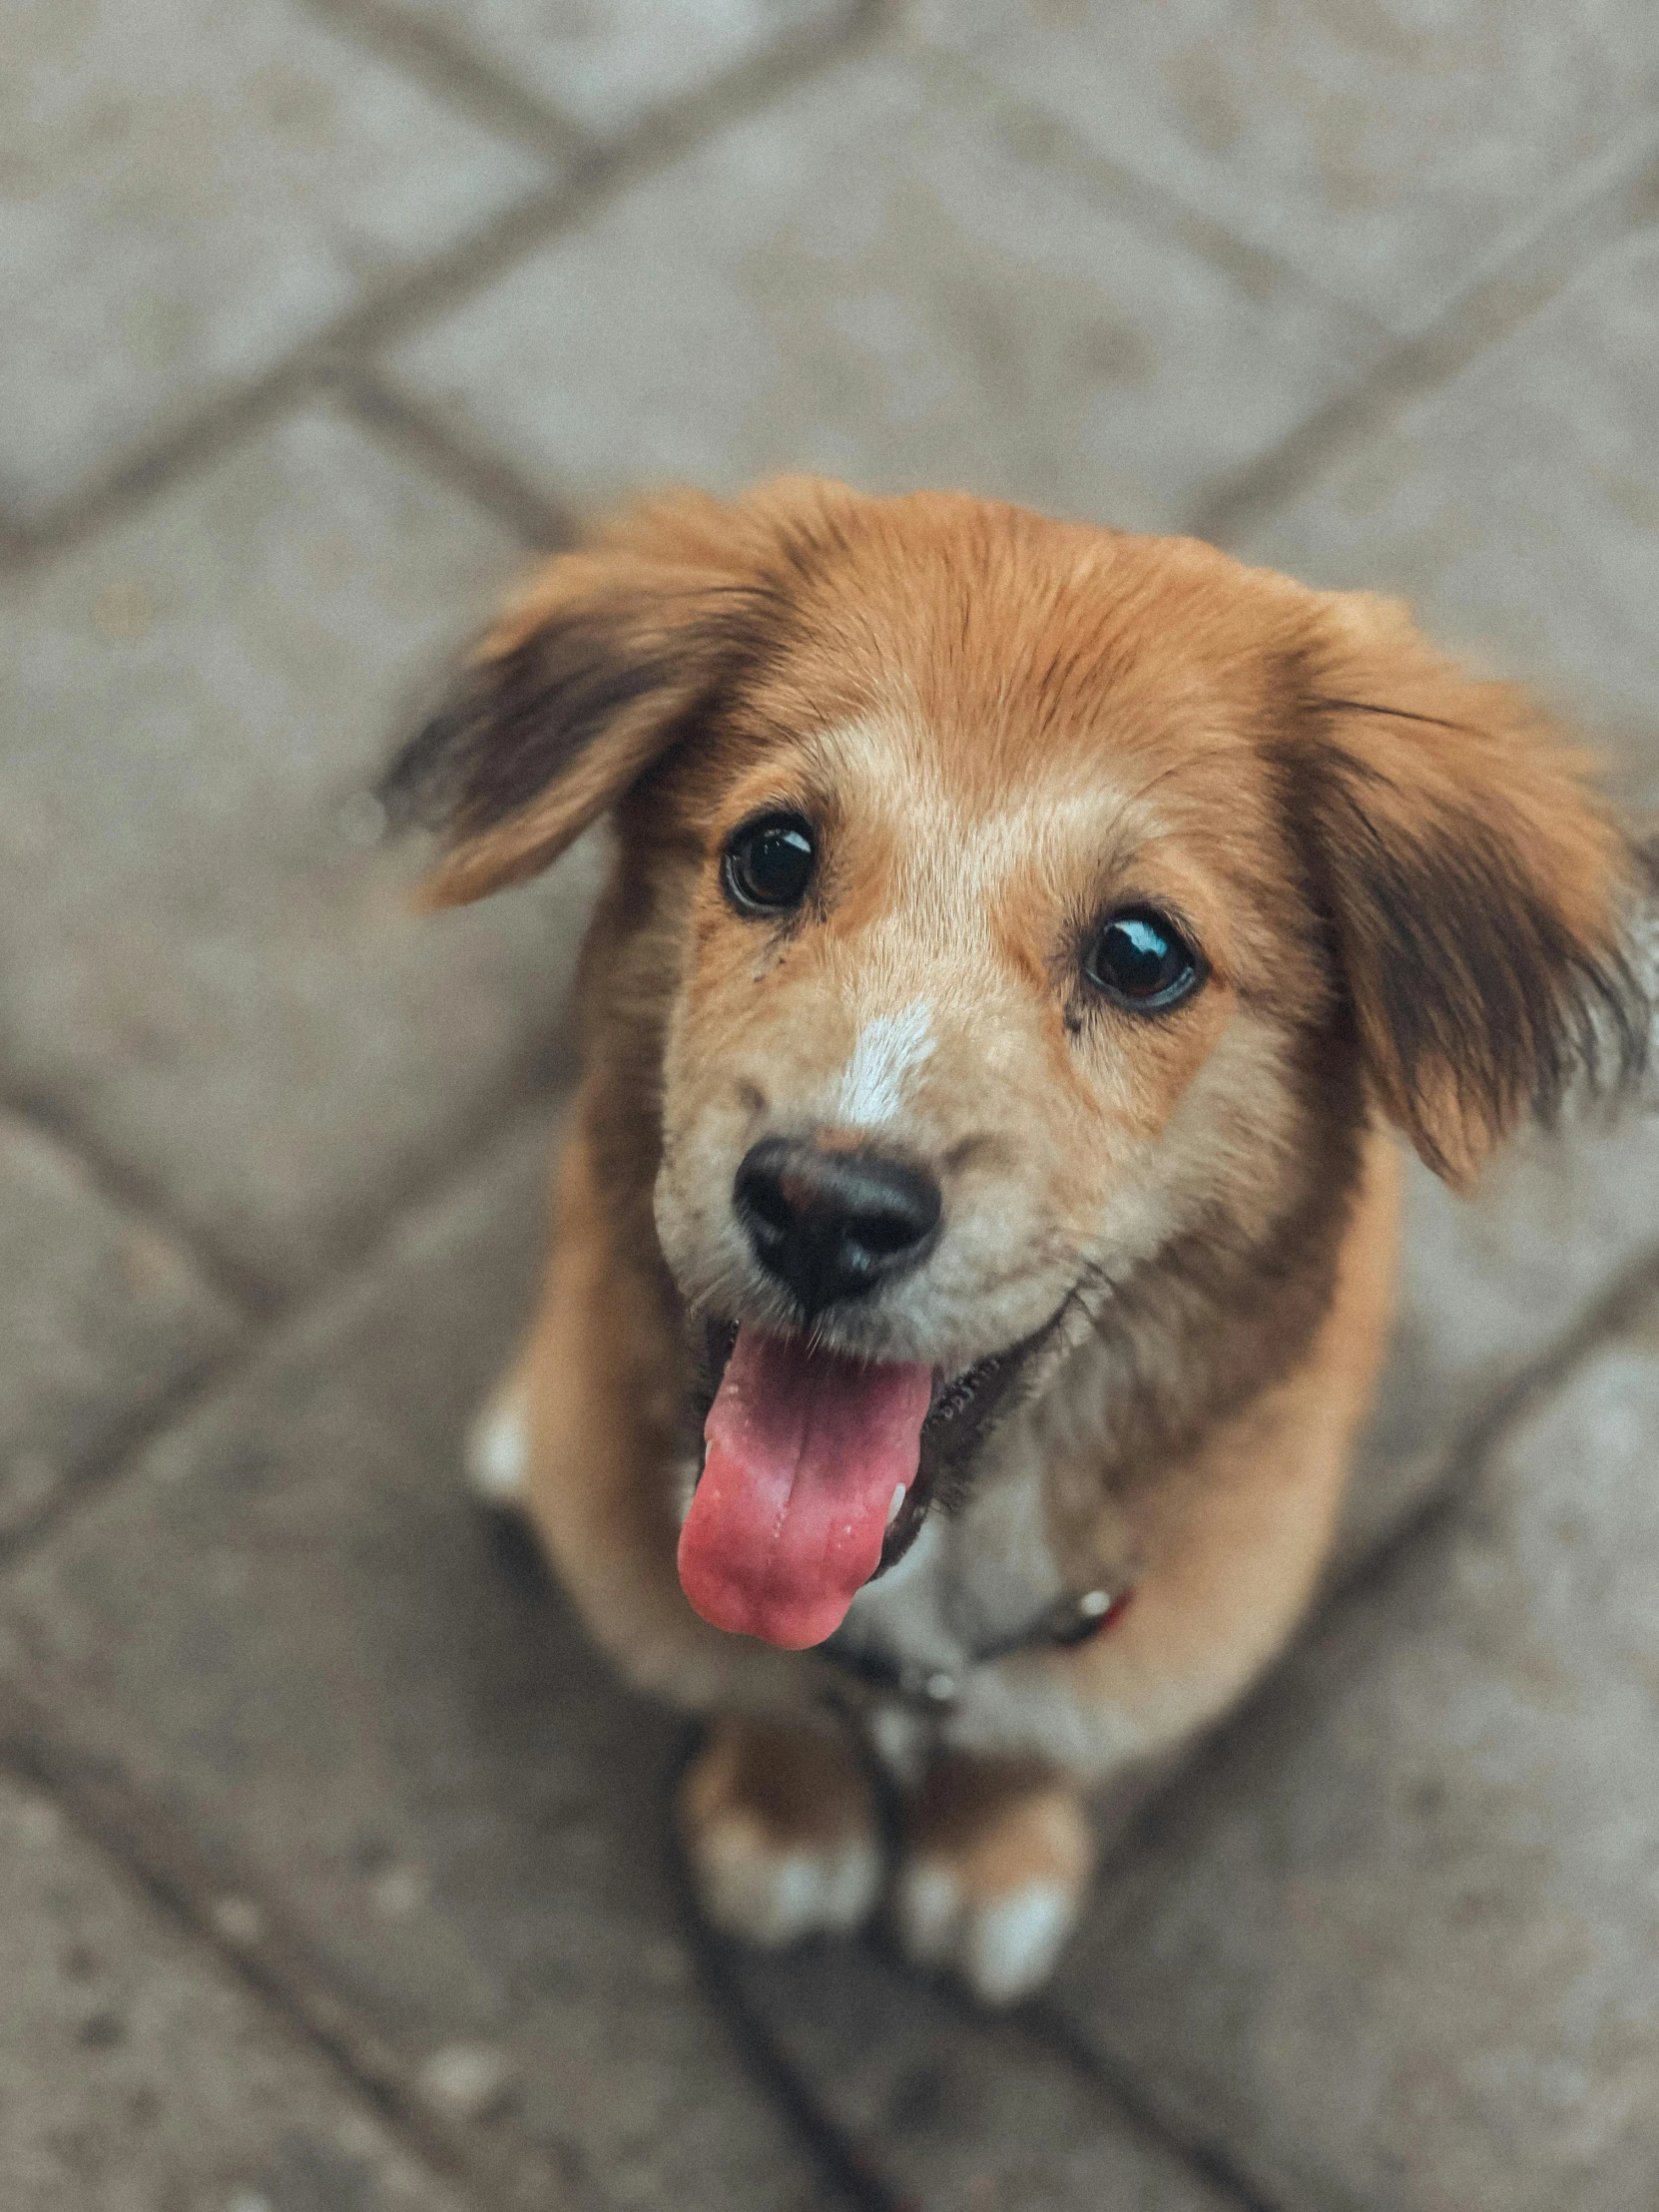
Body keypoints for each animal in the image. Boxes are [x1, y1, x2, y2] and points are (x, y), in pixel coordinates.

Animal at [389, 484, 1654, 2008]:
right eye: (771, 856)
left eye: (1141, 951)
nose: (824, 1209)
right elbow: (761, 1690)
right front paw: (782, 1812)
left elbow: (1026, 1735)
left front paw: (990, 1858)